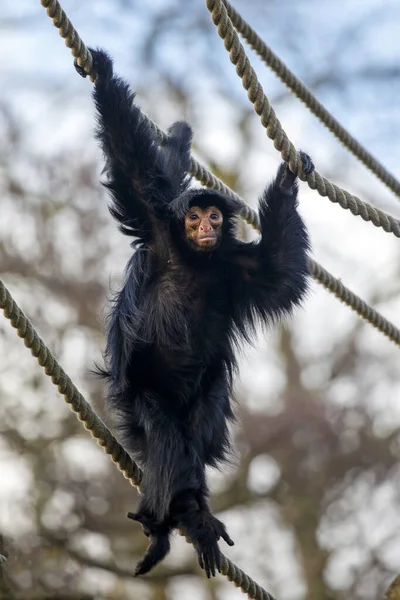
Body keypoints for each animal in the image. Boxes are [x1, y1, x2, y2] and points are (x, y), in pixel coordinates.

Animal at [75, 50, 312, 576]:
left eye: (215, 217)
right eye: (194, 217)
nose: (206, 224)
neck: (197, 258)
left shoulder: (236, 266)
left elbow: (280, 274)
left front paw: (288, 177)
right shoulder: (155, 223)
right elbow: (131, 163)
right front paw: (102, 72)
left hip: (203, 390)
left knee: (201, 424)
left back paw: (193, 511)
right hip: (140, 393)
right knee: (165, 438)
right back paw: (175, 515)